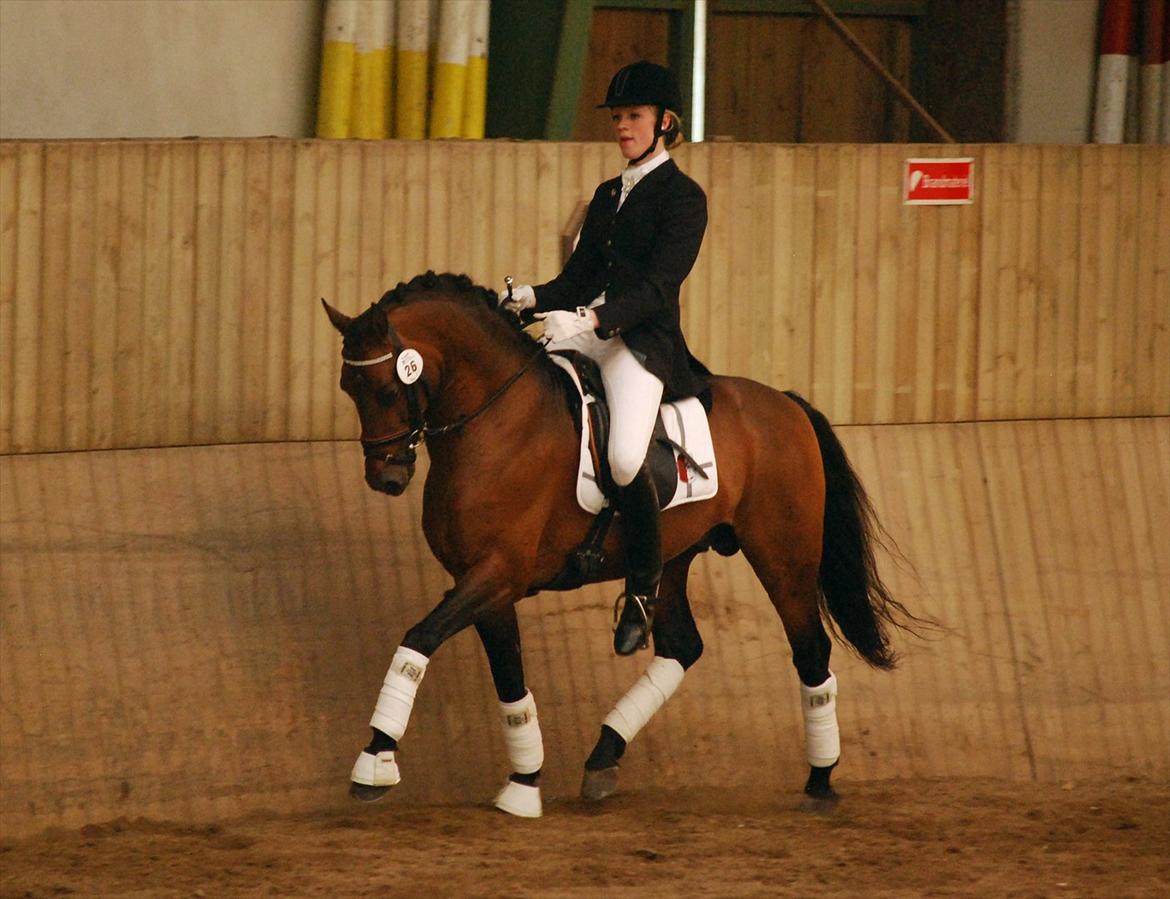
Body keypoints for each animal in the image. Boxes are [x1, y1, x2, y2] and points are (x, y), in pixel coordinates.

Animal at [325, 270, 917, 819]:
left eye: (385, 389)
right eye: (348, 389)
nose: (387, 478)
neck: (498, 424)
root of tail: (788, 406)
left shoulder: (498, 572)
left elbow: (419, 638)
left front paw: (375, 761)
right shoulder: (483, 582)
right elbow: (510, 680)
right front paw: (524, 784)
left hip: (783, 554)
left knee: (810, 650)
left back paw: (820, 781)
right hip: (672, 555)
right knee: (682, 645)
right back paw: (603, 755)